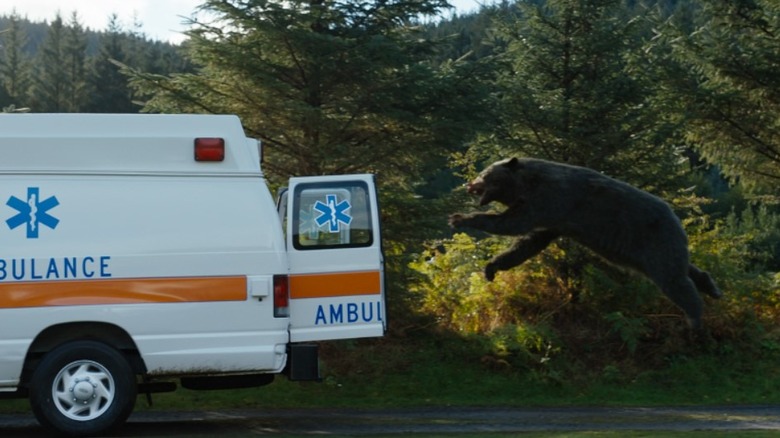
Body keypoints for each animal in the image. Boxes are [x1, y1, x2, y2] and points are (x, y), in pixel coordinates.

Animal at [448, 157, 724, 328]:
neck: (526, 185)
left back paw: (695, 318)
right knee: (685, 269)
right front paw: (491, 267)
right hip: (652, 251)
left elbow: (511, 224)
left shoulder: (550, 200)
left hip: (654, 240)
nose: (470, 184)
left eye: (485, 174)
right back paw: (712, 287)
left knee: (675, 281)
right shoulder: (553, 221)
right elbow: (527, 243)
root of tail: (678, 219)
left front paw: (460, 218)